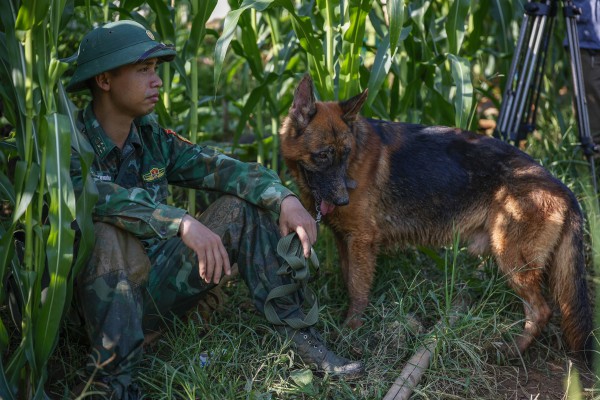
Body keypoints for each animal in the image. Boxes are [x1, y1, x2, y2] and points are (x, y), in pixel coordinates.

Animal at [278, 74, 592, 360]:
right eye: (322, 156)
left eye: (345, 154)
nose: (343, 198)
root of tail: (565, 191)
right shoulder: (347, 241)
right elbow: (349, 279)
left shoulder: (361, 241)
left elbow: (357, 289)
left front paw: (351, 330)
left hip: (512, 260)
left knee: (542, 311)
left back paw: (512, 351)